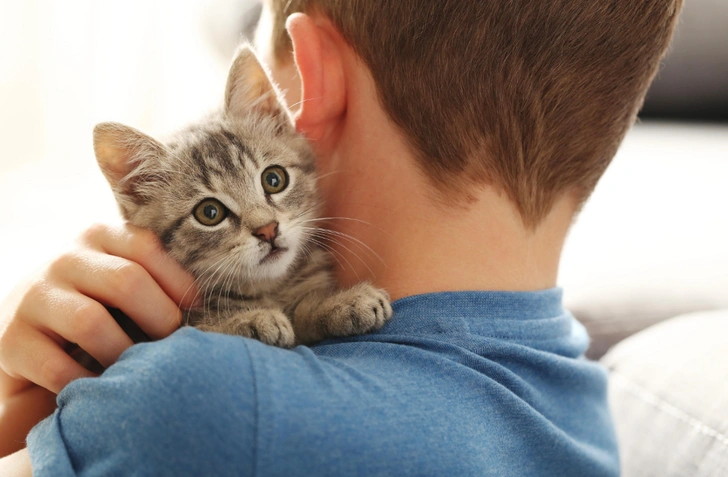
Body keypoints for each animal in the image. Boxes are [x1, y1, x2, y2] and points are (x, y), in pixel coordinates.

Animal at [94, 45, 396, 346]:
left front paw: (340, 304)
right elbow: (199, 326)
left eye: (273, 179)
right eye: (210, 212)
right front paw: (248, 320)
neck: (269, 288)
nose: (268, 229)